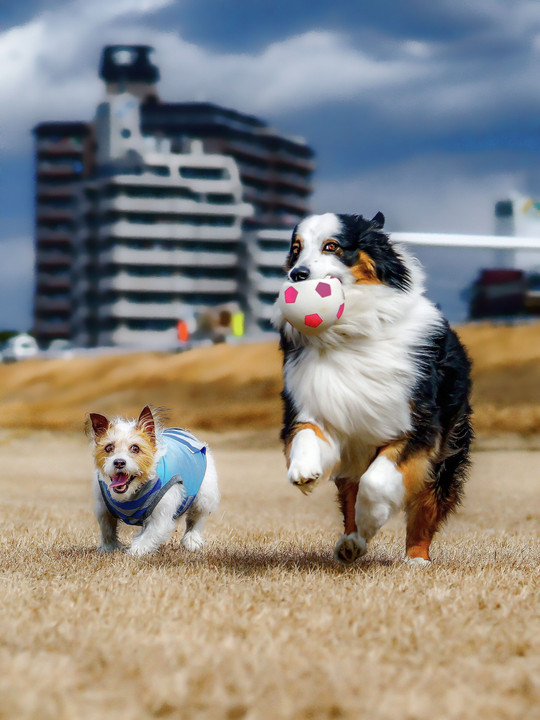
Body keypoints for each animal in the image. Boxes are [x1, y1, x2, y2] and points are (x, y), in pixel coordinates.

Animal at [272, 211, 470, 564]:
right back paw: (352, 543)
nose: (297, 275)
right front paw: (304, 470)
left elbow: (377, 482)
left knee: (426, 503)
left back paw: (416, 557)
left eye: (332, 246)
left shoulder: (418, 425)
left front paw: (372, 518)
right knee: (350, 490)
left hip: (448, 450)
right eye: (296, 250)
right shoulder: (314, 404)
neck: (349, 330)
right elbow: (306, 433)